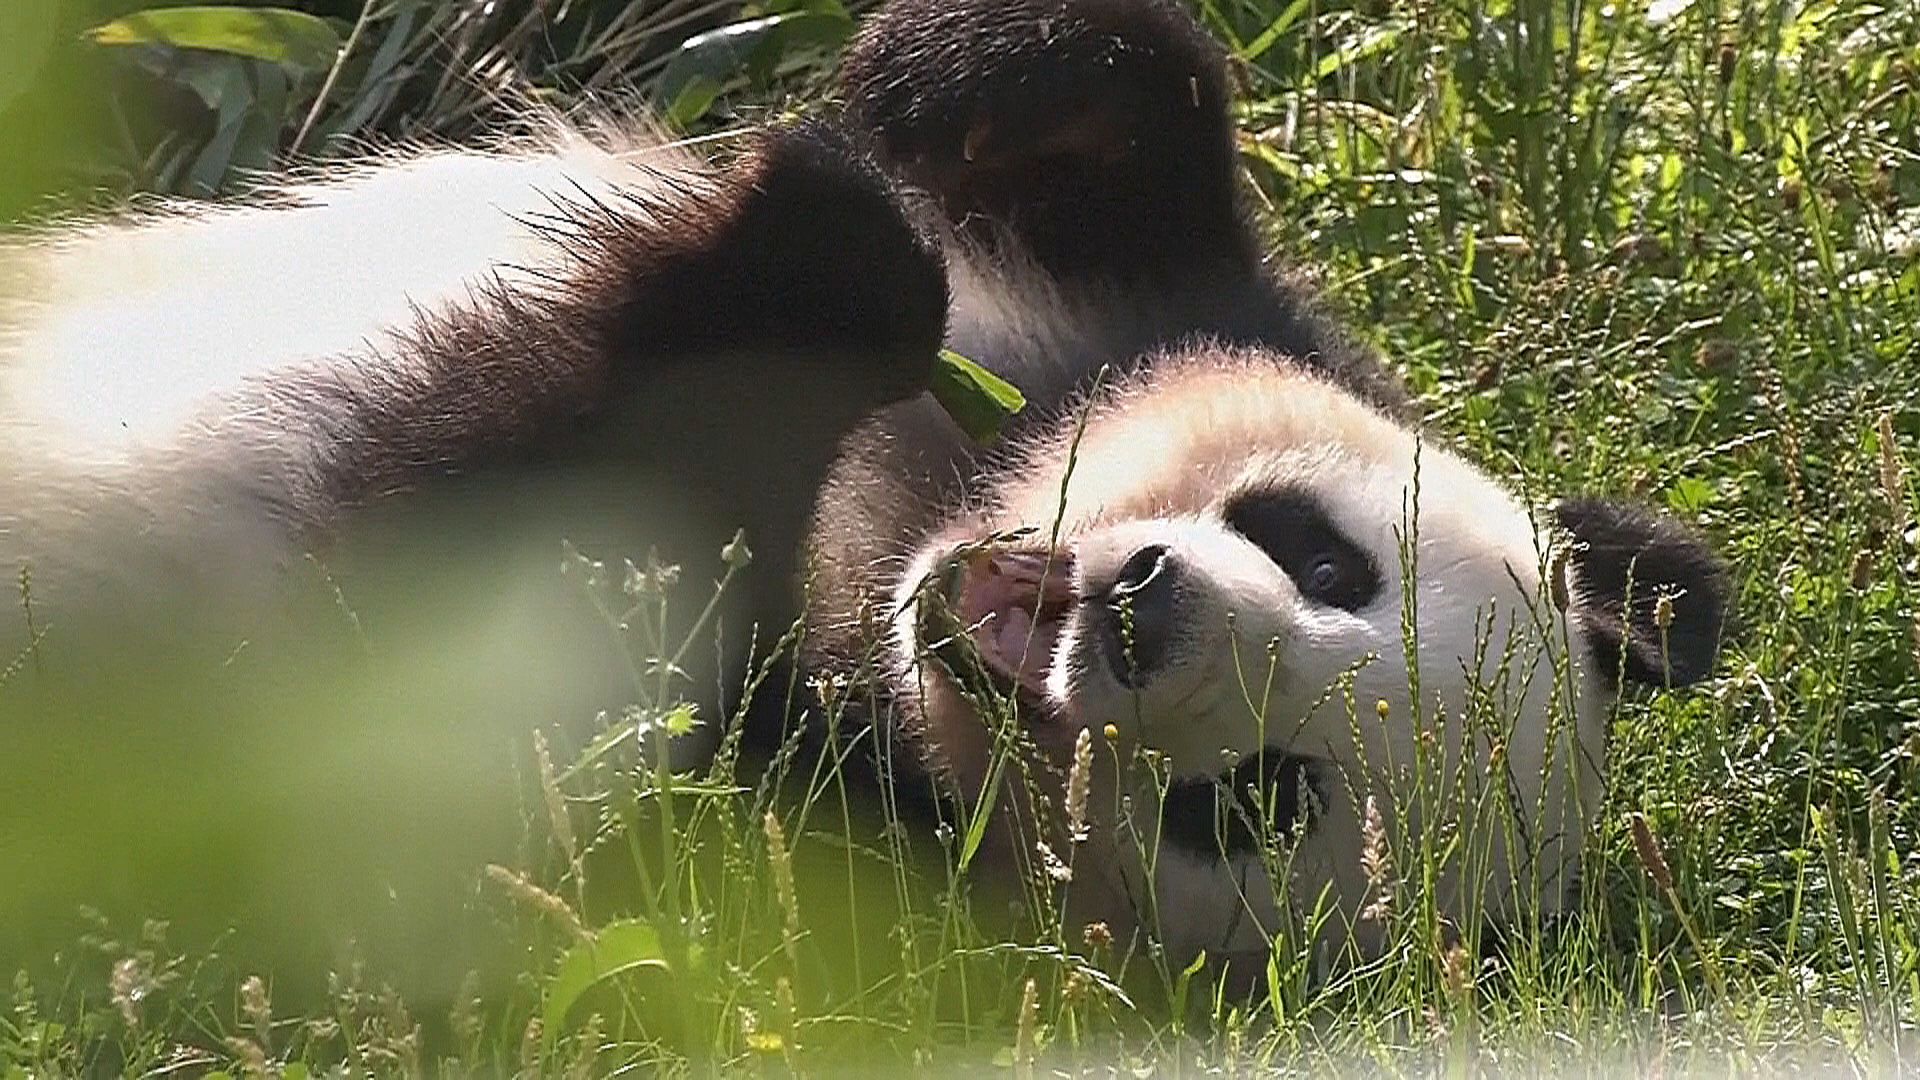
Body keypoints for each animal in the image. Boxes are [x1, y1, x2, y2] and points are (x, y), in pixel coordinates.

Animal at [0, 0, 1735, 980]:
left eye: (1255, 803)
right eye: (1322, 558)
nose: (1141, 612)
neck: (884, 556)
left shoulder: (769, 846)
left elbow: (442, 648)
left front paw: (814, 263)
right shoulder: (1171, 296)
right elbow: (1127, 114)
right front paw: (933, 100)